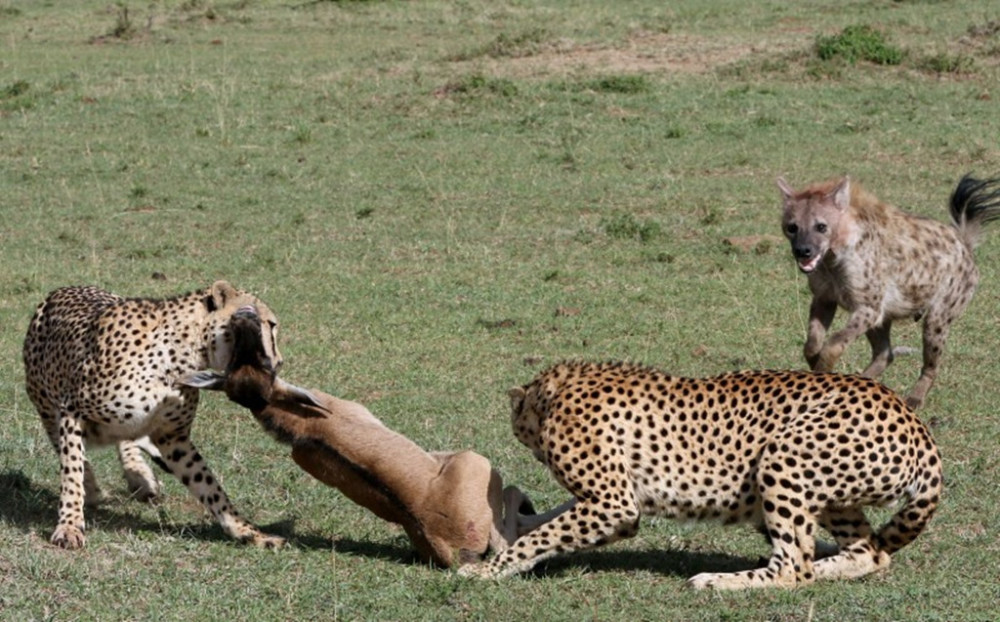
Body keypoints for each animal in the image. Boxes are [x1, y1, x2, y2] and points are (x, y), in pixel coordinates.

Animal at [22, 282, 286, 552]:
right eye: (270, 324)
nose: (279, 362)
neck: (181, 356)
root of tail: (63, 289)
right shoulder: (72, 410)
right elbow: (72, 469)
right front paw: (70, 525)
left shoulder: (173, 438)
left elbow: (210, 486)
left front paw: (248, 531)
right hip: (46, 407)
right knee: (68, 447)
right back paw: (96, 489)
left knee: (125, 438)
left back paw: (140, 476)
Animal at [460, 360, 944, 588]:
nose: (533, 450)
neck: (556, 392)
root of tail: (910, 416)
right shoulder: (615, 499)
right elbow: (550, 520)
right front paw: (515, 522)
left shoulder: (614, 505)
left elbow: (546, 536)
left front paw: (486, 570)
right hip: (832, 496)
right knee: (867, 553)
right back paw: (825, 565)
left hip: (781, 457)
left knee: (792, 566)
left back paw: (716, 581)